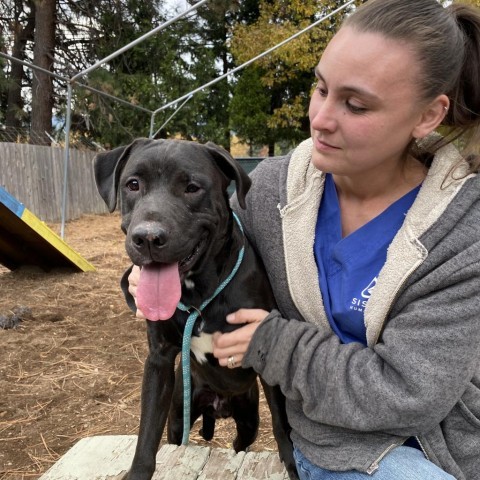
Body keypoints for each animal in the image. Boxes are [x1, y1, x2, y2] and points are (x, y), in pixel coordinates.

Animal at [93, 139, 296, 480]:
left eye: (192, 187)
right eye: (133, 184)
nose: (148, 237)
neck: (198, 295)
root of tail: (218, 404)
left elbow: (282, 425)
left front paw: (292, 465)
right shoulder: (159, 360)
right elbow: (147, 433)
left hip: (248, 420)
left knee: (241, 443)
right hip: (180, 414)